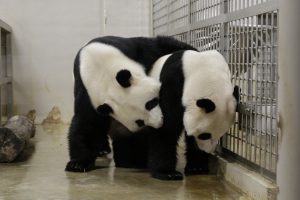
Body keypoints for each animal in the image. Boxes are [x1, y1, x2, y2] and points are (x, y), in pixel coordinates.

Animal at [65, 35, 197, 172]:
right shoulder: (88, 93)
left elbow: (160, 46)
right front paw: (78, 163)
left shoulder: (136, 52)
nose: (159, 123)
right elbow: (88, 124)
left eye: (151, 103)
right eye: (139, 122)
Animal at [110, 49, 239, 180]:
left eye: (221, 135)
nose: (207, 150)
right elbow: (167, 128)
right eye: (205, 135)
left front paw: (197, 167)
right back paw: (130, 161)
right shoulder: (171, 83)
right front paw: (167, 173)